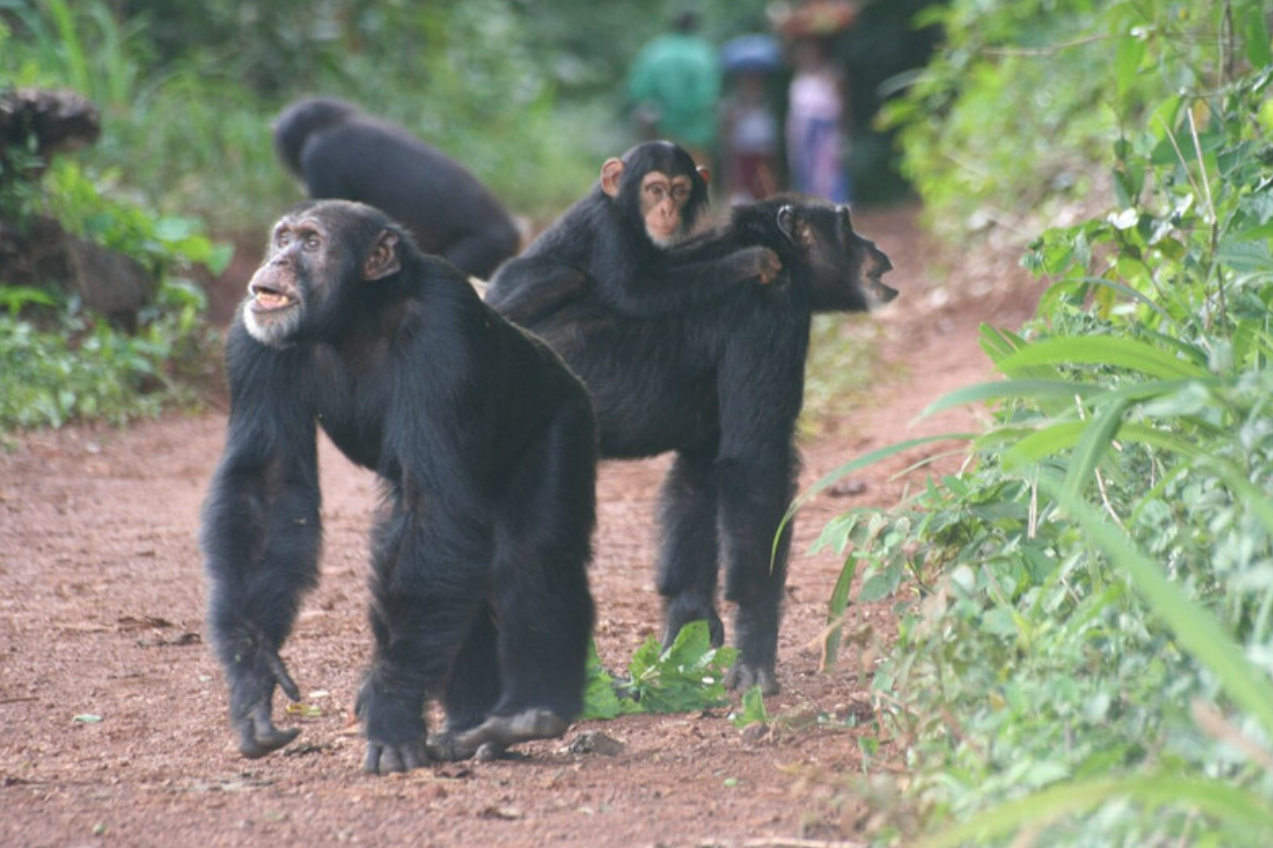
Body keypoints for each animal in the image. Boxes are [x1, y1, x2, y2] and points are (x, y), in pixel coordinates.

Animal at [198, 199, 595, 774]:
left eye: (312, 242)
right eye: (283, 237)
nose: (279, 261)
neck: (356, 319)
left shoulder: (445, 328)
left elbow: (430, 503)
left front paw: (391, 707)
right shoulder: (251, 342)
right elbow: (268, 488)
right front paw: (253, 672)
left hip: (564, 417)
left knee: (533, 555)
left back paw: (530, 711)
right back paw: (469, 726)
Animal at [486, 141, 896, 692]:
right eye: (847, 227)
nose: (873, 243)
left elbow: (697, 482)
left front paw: (688, 631)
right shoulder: (768, 314)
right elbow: (756, 466)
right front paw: (755, 648)